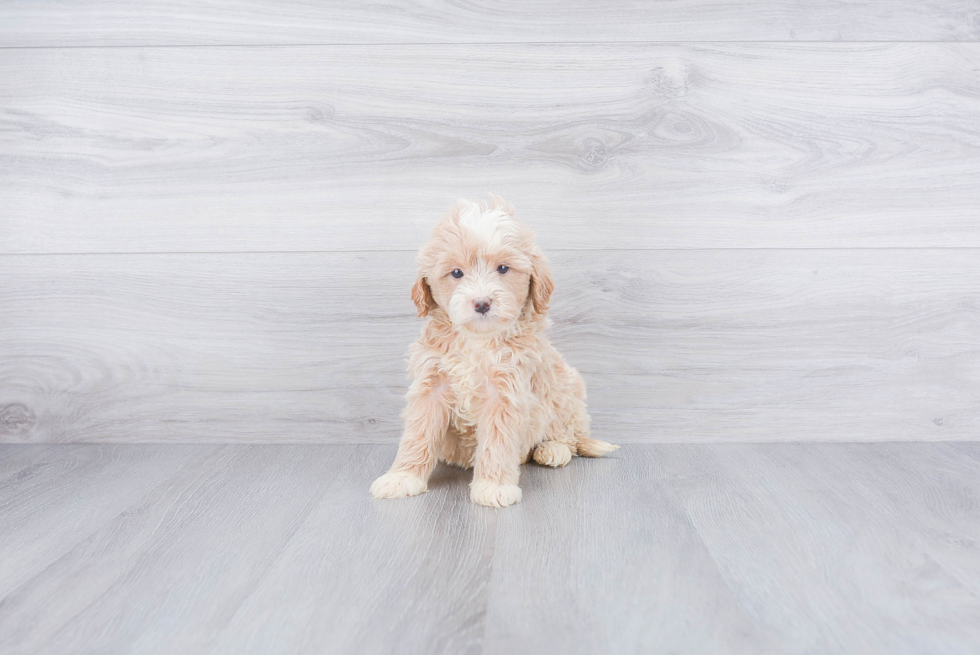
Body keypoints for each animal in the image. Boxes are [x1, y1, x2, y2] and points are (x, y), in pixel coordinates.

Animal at [372, 195, 616, 508]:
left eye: (502, 269)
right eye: (456, 273)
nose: (482, 303)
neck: (477, 339)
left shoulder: (506, 390)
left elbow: (498, 442)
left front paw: (493, 487)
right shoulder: (431, 384)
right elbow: (418, 433)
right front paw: (402, 477)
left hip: (568, 390)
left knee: (570, 437)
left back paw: (552, 449)